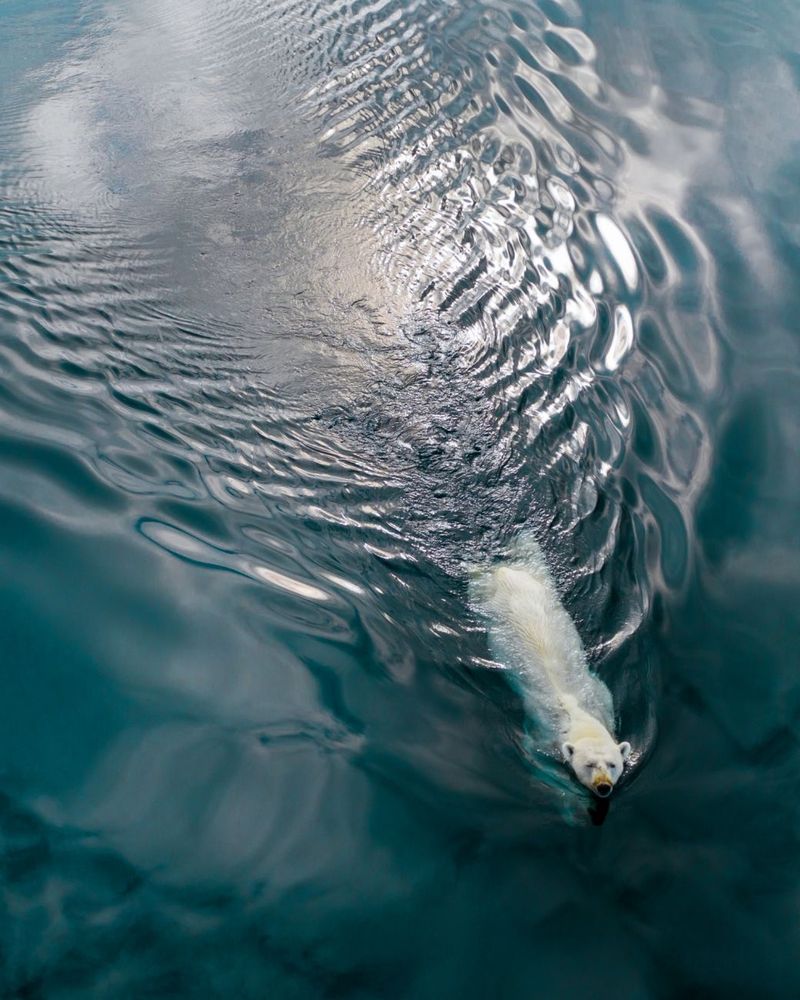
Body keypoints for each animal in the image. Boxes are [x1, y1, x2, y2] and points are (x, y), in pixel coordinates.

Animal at [470, 534, 631, 797]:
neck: (576, 715)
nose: (603, 786)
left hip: (542, 582)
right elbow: (538, 759)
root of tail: (506, 573)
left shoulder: (601, 698)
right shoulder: (543, 736)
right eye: (588, 765)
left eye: (612, 764)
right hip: (486, 597)